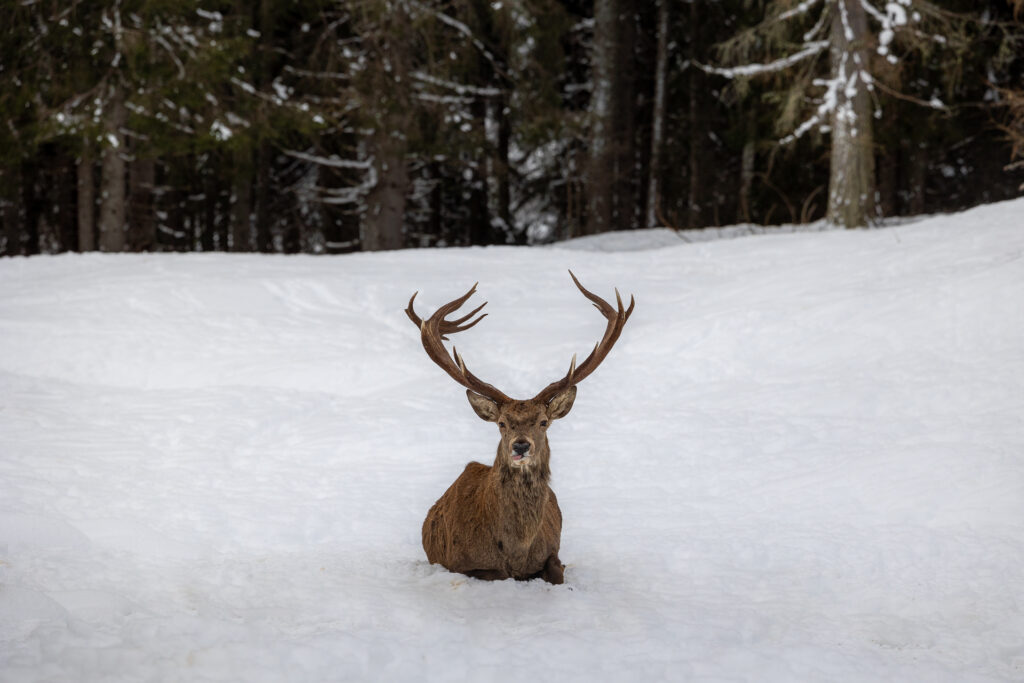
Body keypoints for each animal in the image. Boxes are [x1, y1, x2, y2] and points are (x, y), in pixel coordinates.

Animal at [401, 270, 630, 585]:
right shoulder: (462, 564)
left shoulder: (553, 553)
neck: (516, 551)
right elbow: (496, 573)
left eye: (543, 422)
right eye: (501, 423)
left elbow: (557, 572)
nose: (520, 445)